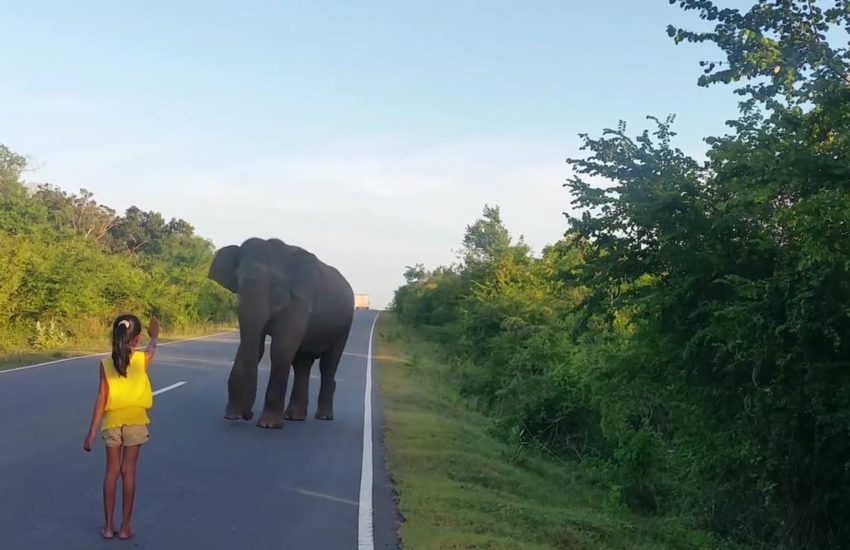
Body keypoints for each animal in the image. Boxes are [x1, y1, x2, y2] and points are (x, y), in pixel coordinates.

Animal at [208, 237, 355, 429]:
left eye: (276, 286)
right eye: (239, 282)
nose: (248, 415)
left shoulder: (301, 299)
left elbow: (281, 348)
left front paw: (268, 425)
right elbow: (257, 347)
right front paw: (232, 416)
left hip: (344, 327)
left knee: (328, 365)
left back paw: (323, 416)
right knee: (302, 364)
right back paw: (294, 417)